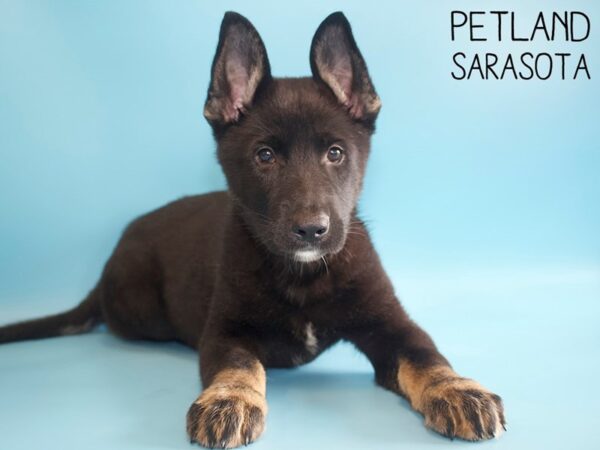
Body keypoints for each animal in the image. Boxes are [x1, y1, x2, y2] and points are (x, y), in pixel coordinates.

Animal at [0, 11, 505, 448]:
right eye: (265, 156)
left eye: (336, 153)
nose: (311, 231)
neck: (303, 275)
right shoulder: (225, 330)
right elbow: (240, 364)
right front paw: (229, 400)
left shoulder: (391, 325)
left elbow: (426, 356)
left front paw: (457, 389)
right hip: (139, 306)